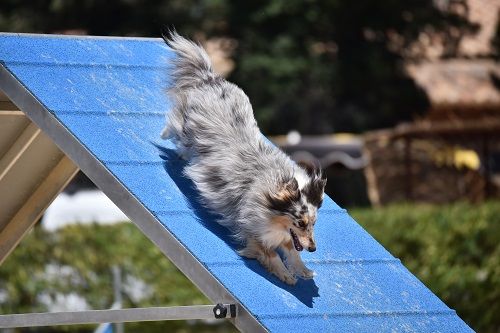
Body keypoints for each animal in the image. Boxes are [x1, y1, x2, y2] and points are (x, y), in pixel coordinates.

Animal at [159, 32, 324, 284]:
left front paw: (302, 269)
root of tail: (211, 79)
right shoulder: (252, 228)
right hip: (188, 131)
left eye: (313, 223)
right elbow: (271, 254)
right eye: (300, 222)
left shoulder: (281, 233)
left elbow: (291, 249)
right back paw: (167, 137)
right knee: (175, 125)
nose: (313, 249)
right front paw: (285, 275)